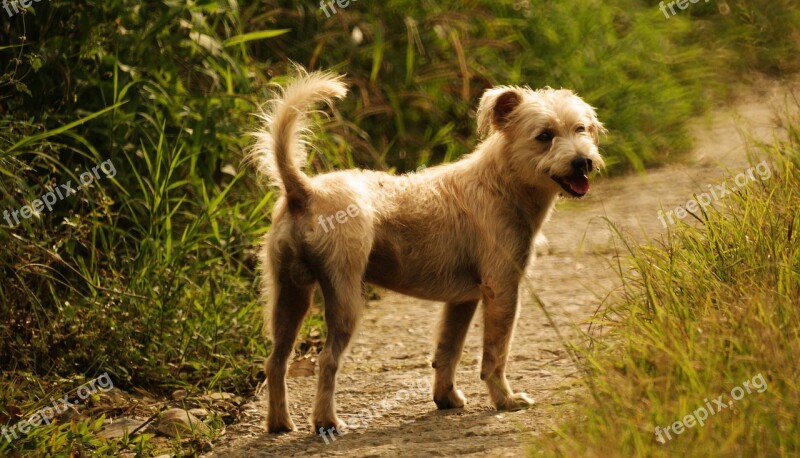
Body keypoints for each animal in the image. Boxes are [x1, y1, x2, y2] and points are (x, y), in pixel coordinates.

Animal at [253, 68, 604, 432]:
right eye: (544, 136)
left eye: (580, 129)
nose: (583, 162)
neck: (500, 183)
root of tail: (305, 191)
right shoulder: (503, 289)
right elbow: (495, 354)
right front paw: (505, 400)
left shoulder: (462, 300)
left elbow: (448, 351)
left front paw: (446, 398)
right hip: (344, 297)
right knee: (326, 360)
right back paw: (326, 421)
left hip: (290, 296)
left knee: (275, 361)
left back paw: (279, 423)